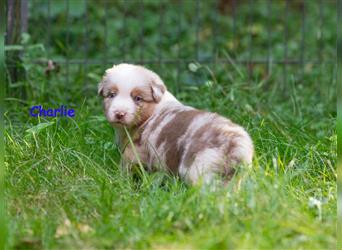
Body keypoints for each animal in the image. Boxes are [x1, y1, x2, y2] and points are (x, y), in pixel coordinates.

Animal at [97, 63, 252, 185]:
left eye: (138, 98)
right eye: (111, 95)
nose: (119, 114)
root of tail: (233, 144)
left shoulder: (134, 152)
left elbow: (126, 168)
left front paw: (119, 181)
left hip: (199, 168)